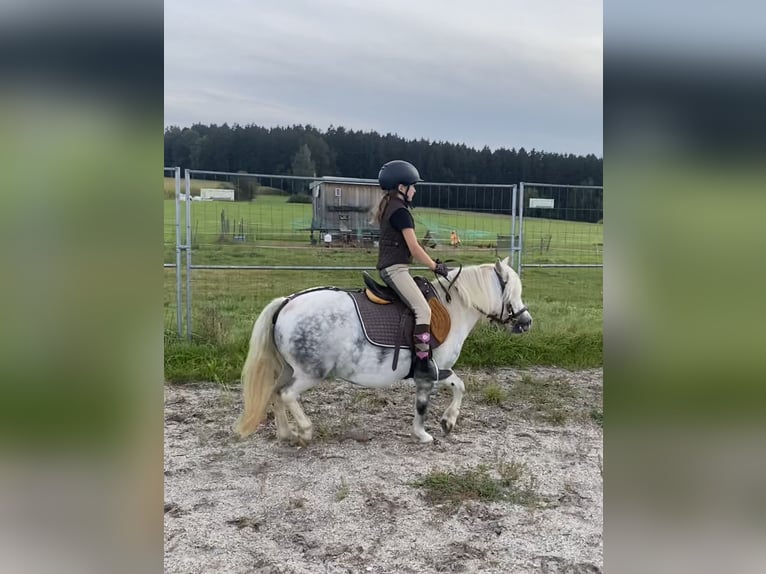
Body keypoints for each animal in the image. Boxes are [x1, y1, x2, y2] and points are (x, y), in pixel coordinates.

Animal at [236, 258, 536, 446]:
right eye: (510, 291)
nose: (526, 321)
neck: (453, 308)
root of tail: (287, 302)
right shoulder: (428, 372)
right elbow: (423, 404)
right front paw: (422, 434)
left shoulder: (439, 370)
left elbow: (460, 386)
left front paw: (448, 422)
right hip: (310, 373)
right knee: (287, 394)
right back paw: (306, 430)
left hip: (290, 369)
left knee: (275, 392)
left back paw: (286, 433)